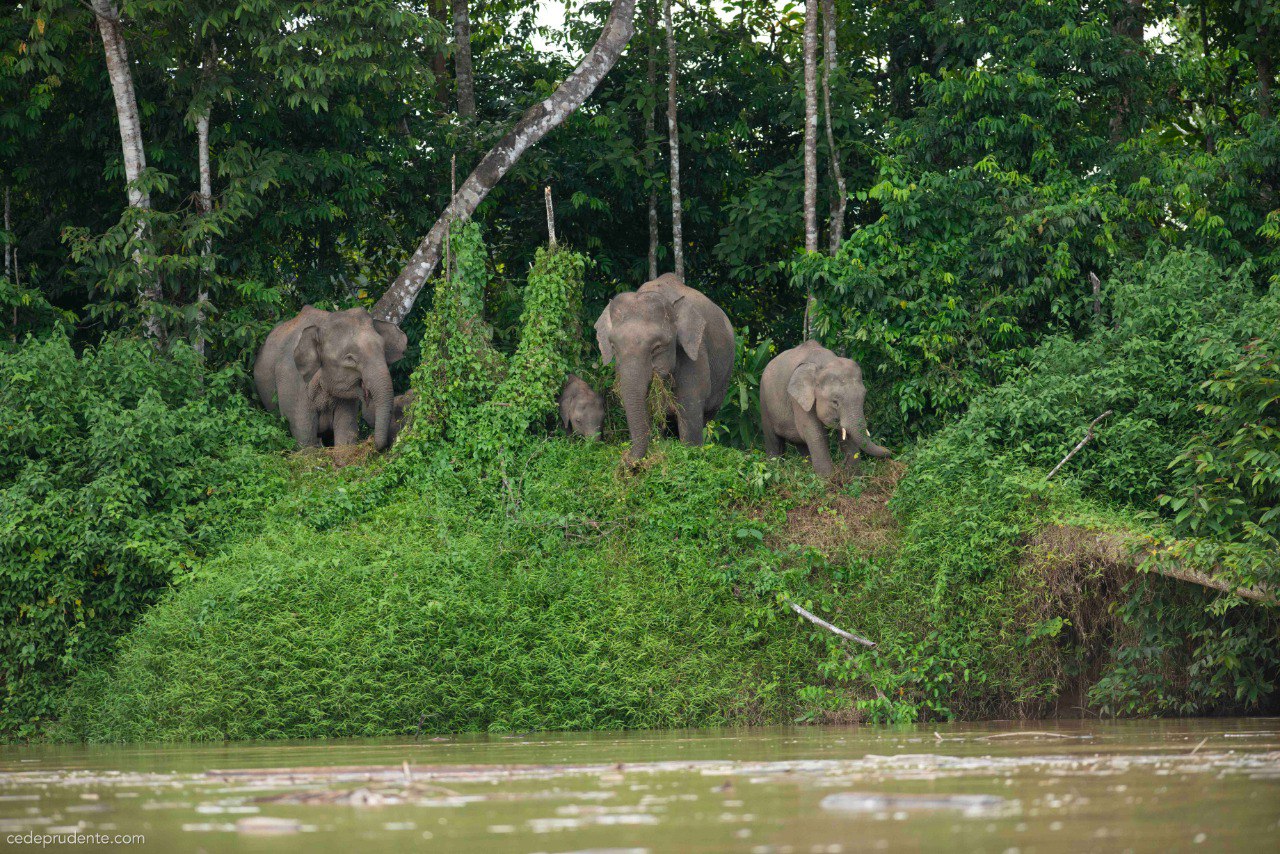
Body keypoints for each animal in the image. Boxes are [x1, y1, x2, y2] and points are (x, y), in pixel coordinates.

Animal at [254, 306, 408, 450]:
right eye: (350, 358)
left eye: (383, 349)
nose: (373, 444)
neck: (321, 325)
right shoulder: (292, 380)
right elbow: (304, 432)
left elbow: (346, 429)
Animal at [594, 273, 735, 461]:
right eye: (613, 347)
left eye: (657, 347)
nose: (625, 458)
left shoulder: (695, 353)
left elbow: (690, 405)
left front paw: (690, 451)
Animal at [759, 340, 891, 478]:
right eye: (835, 402)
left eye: (864, 396)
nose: (888, 451)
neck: (825, 362)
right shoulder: (798, 400)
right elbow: (815, 433)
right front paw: (827, 480)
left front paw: (854, 478)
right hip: (764, 402)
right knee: (774, 441)